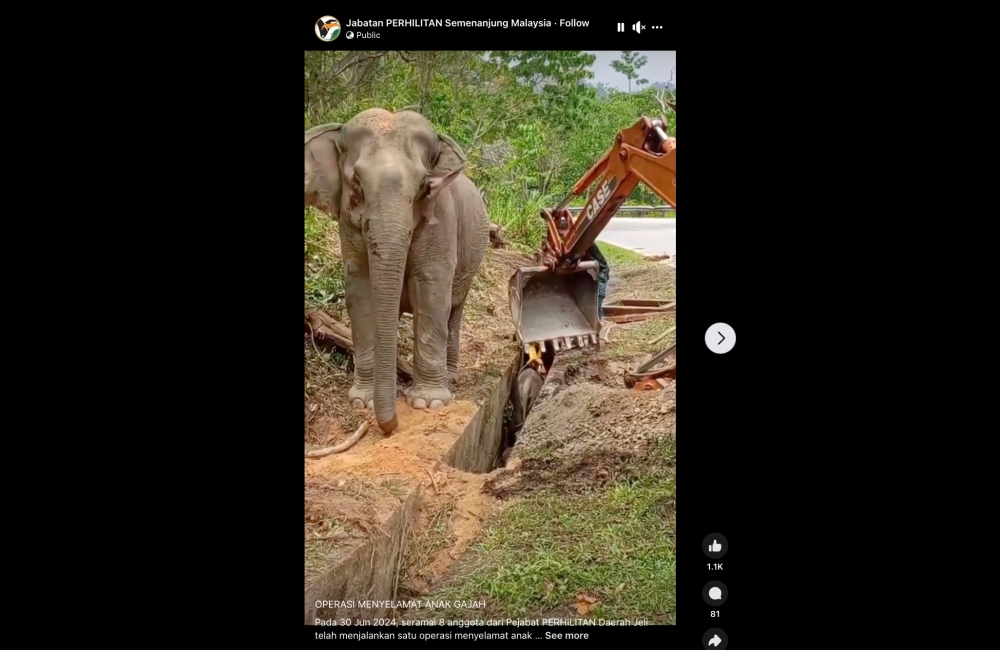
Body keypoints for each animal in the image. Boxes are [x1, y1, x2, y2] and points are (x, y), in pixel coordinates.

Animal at [305, 108, 490, 434]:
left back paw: (451, 377)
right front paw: (362, 401)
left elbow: (431, 293)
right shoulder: (348, 227)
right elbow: (360, 294)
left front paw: (429, 403)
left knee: (454, 309)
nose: (390, 426)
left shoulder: (441, 217)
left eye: (423, 185)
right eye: (356, 183)